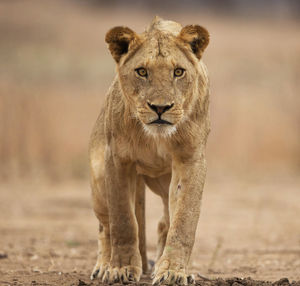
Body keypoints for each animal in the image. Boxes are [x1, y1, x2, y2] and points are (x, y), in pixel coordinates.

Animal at [89, 16, 210, 284]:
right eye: (142, 72)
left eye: (178, 72)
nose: (160, 108)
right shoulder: (117, 159)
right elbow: (123, 220)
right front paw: (121, 269)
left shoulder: (190, 159)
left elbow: (183, 220)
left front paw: (172, 272)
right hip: (99, 177)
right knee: (105, 227)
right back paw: (103, 265)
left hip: (162, 183)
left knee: (164, 222)